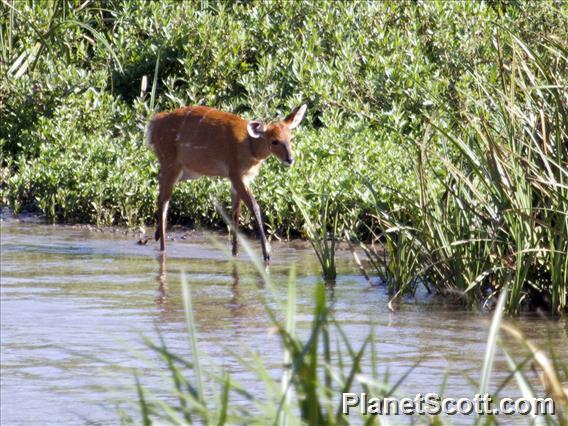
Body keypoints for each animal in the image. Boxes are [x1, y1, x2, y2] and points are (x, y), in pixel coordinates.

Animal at [146, 103, 306, 262]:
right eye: (274, 141)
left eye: (291, 139)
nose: (290, 159)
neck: (250, 148)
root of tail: (152, 125)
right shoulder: (236, 174)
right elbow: (254, 207)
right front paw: (266, 254)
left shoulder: (241, 179)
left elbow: (235, 213)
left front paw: (235, 253)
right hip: (170, 161)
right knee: (163, 202)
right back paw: (162, 248)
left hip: (186, 171)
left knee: (160, 192)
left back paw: (157, 234)